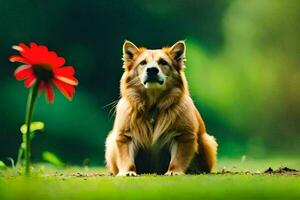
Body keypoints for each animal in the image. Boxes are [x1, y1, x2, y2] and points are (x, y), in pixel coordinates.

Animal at [104, 41, 217, 177]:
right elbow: (126, 158)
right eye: (143, 63)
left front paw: (174, 171)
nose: (152, 70)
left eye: (163, 62)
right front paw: (128, 172)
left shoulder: (183, 136)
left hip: (206, 141)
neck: (153, 106)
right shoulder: (125, 136)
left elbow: (178, 158)